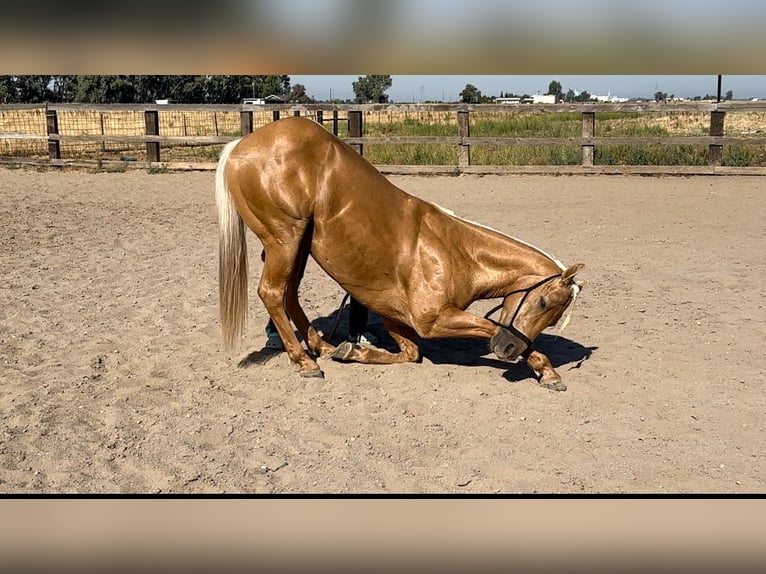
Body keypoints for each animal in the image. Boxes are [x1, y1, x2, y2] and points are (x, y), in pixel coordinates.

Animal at [216, 116, 584, 390]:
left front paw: (354, 351)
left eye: (553, 316)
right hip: (285, 240)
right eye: (542, 302)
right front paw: (545, 368)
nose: (509, 349)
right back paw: (305, 361)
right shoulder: (432, 320)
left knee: (289, 293)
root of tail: (240, 146)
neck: (457, 252)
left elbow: (411, 354)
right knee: (273, 292)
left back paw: (322, 347)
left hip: (299, 246)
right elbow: (486, 327)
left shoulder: (394, 315)